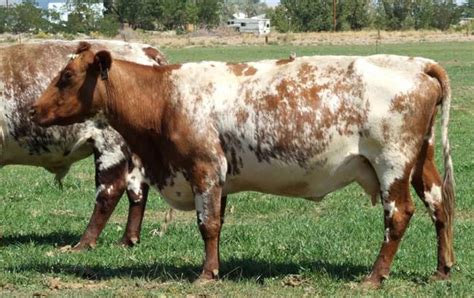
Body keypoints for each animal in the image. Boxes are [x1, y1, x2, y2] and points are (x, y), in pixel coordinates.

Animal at [0, 39, 167, 249]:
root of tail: (145, 49)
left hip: (110, 144)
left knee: (110, 190)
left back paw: (85, 242)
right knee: (137, 189)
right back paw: (128, 239)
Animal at [31, 42, 454, 286]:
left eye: (66, 76)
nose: (33, 110)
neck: (164, 97)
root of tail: (417, 63)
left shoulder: (204, 167)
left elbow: (208, 224)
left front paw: (205, 276)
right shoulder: (219, 176)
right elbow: (217, 222)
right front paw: (214, 268)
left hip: (392, 162)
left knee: (399, 214)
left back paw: (374, 277)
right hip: (422, 159)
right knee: (439, 205)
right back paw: (442, 268)